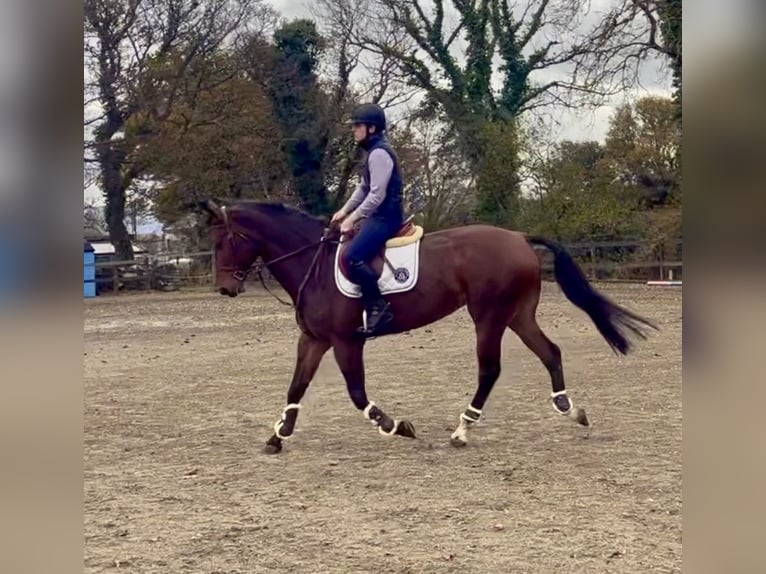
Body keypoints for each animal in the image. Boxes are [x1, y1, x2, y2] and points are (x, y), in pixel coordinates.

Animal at [195, 200, 656, 456]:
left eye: (225, 240)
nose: (224, 288)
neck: (317, 264)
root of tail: (519, 237)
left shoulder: (346, 342)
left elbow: (357, 393)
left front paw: (395, 426)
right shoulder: (314, 340)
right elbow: (296, 387)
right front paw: (278, 436)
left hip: (488, 317)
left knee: (490, 370)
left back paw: (462, 430)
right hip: (517, 315)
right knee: (550, 351)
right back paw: (569, 409)